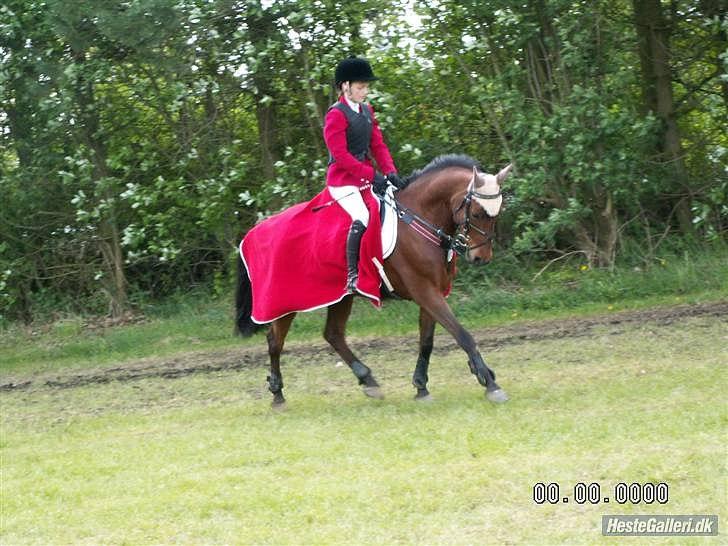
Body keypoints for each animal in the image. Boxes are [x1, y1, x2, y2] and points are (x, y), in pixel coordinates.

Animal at [236, 153, 510, 404]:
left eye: (497, 214)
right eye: (477, 213)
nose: (481, 258)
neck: (420, 219)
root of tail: (255, 231)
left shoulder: (433, 291)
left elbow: (427, 341)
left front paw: (421, 387)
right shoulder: (424, 290)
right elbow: (462, 334)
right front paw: (490, 383)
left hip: (341, 297)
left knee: (333, 334)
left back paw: (367, 379)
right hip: (285, 301)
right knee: (275, 341)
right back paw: (277, 394)